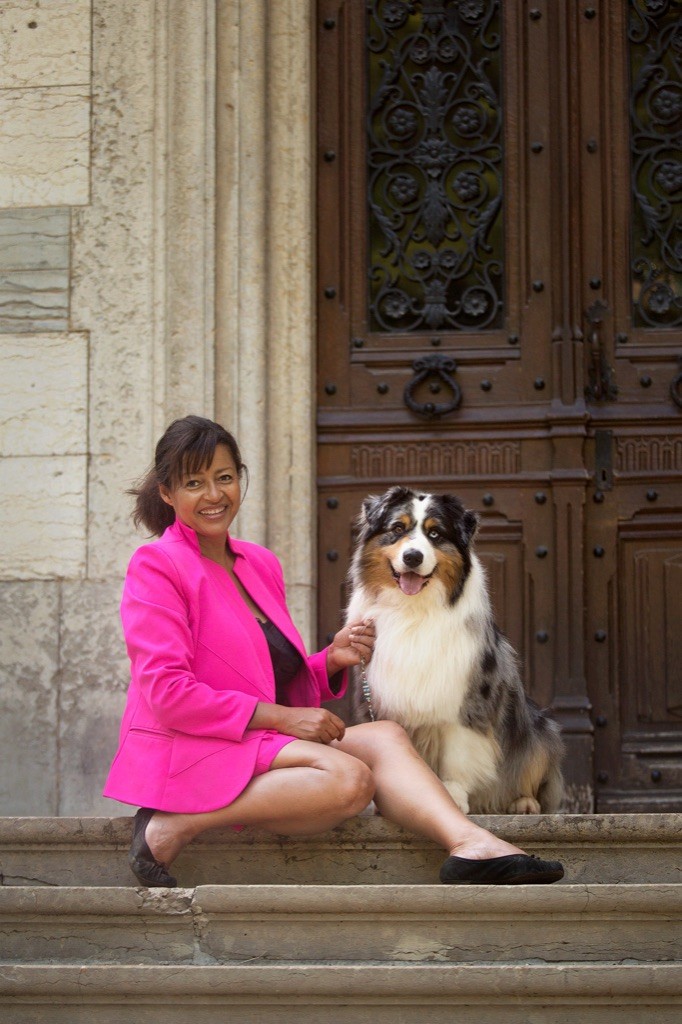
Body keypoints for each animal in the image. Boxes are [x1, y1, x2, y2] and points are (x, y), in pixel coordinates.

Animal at [346, 487, 561, 815]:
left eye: (435, 533)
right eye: (398, 528)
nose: (412, 556)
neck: (413, 609)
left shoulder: (467, 699)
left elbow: (457, 754)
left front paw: (453, 796)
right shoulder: (379, 698)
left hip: (539, 729)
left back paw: (523, 803)